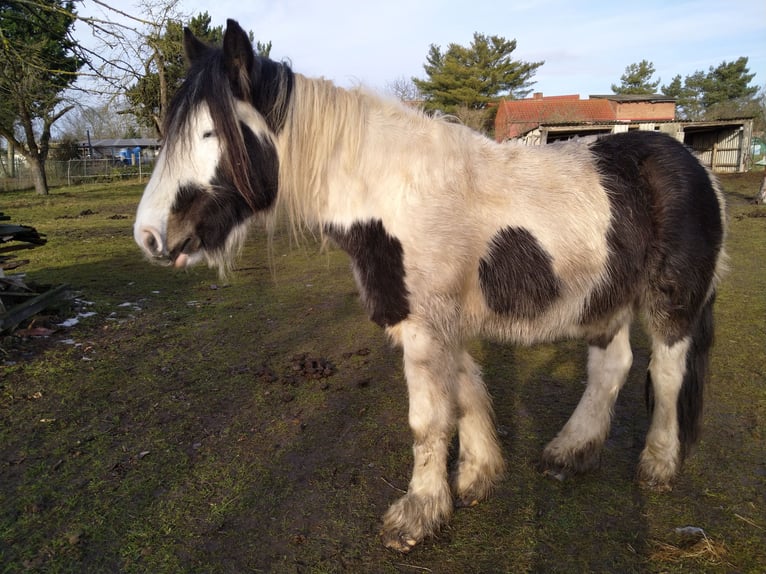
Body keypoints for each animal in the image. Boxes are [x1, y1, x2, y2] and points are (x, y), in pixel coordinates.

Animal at [134, 19, 727, 553]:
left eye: (211, 133)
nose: (150, 235)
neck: (394, 191)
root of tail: (694, 164)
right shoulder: (435, 322)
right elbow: (464, 394)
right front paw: (477, 477)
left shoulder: (424, 325)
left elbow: (427, 420)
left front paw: (417, 514)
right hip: (602, 298)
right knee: (613, 366)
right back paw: (570, 452)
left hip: (671, 303)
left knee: (667, 373)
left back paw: (657, 464)